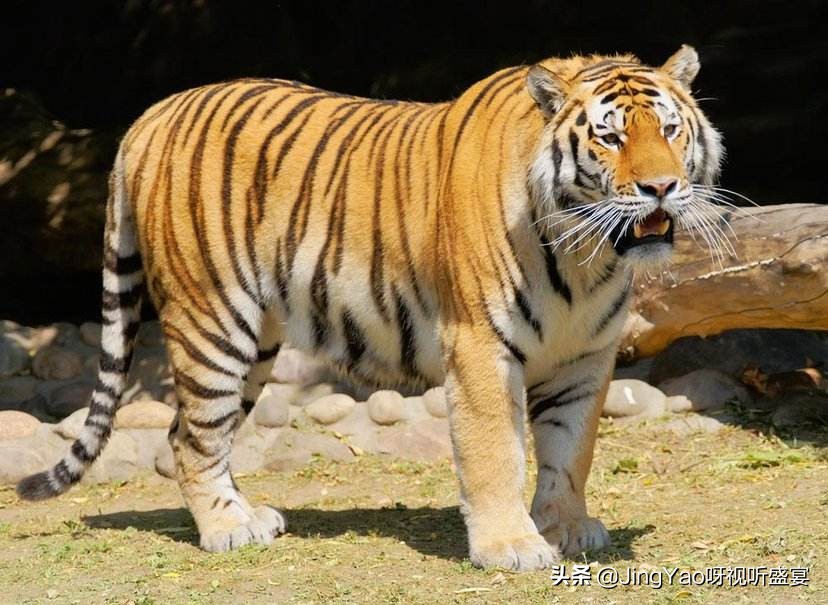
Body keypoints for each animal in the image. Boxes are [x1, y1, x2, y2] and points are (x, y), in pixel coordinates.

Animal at [18, 44, 723, 570]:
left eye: (668, 129)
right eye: (609, 138)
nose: (661, 187)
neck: (587, 256)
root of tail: (153, 113)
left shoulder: (585, 355)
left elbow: (571, 451)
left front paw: (568, 528)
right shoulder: (479, 345)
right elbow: (497, 450)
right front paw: (511, 546)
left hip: (257, 339)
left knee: (184, 431)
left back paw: (252, 516)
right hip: (212, 320)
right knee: (193, 437)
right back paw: (226, 530)